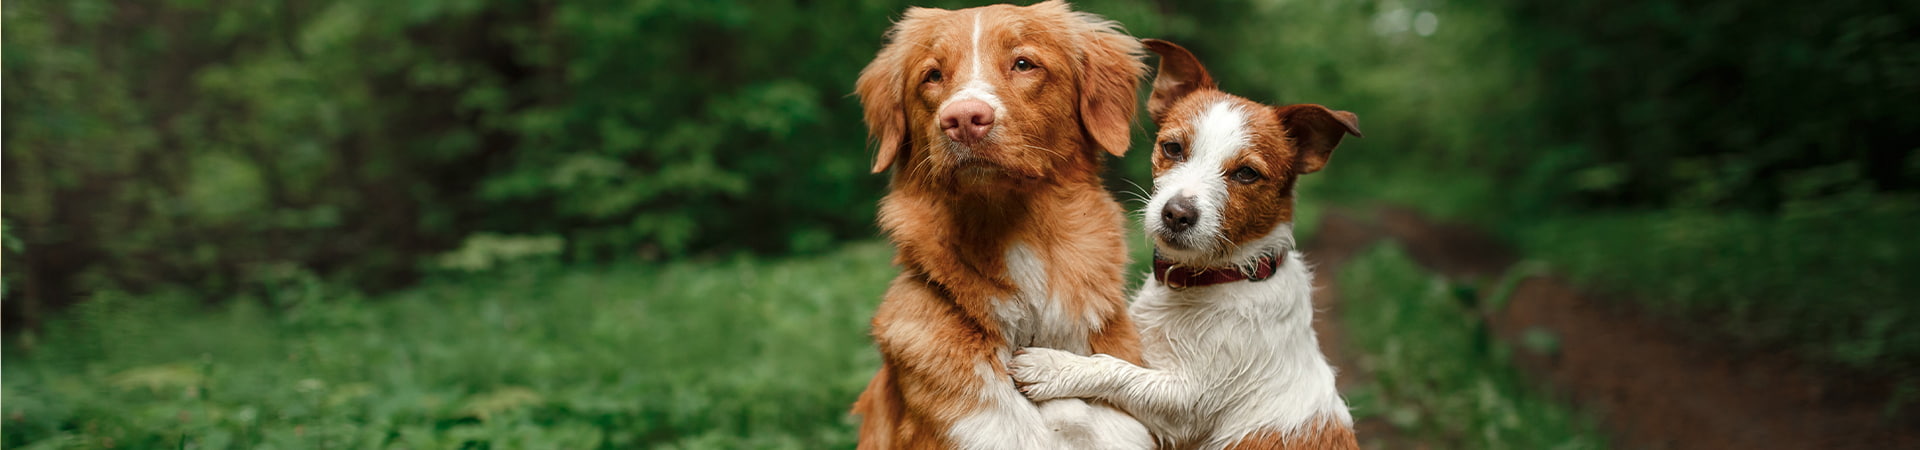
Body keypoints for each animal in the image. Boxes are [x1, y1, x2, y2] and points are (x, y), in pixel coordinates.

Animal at [1006, 39, 1367, 450]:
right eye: (1173, 148)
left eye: (1247, 173)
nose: (1176, 214)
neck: (1221, 276)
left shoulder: (1186, 403)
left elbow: (1117, 370)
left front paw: (1054, 366)